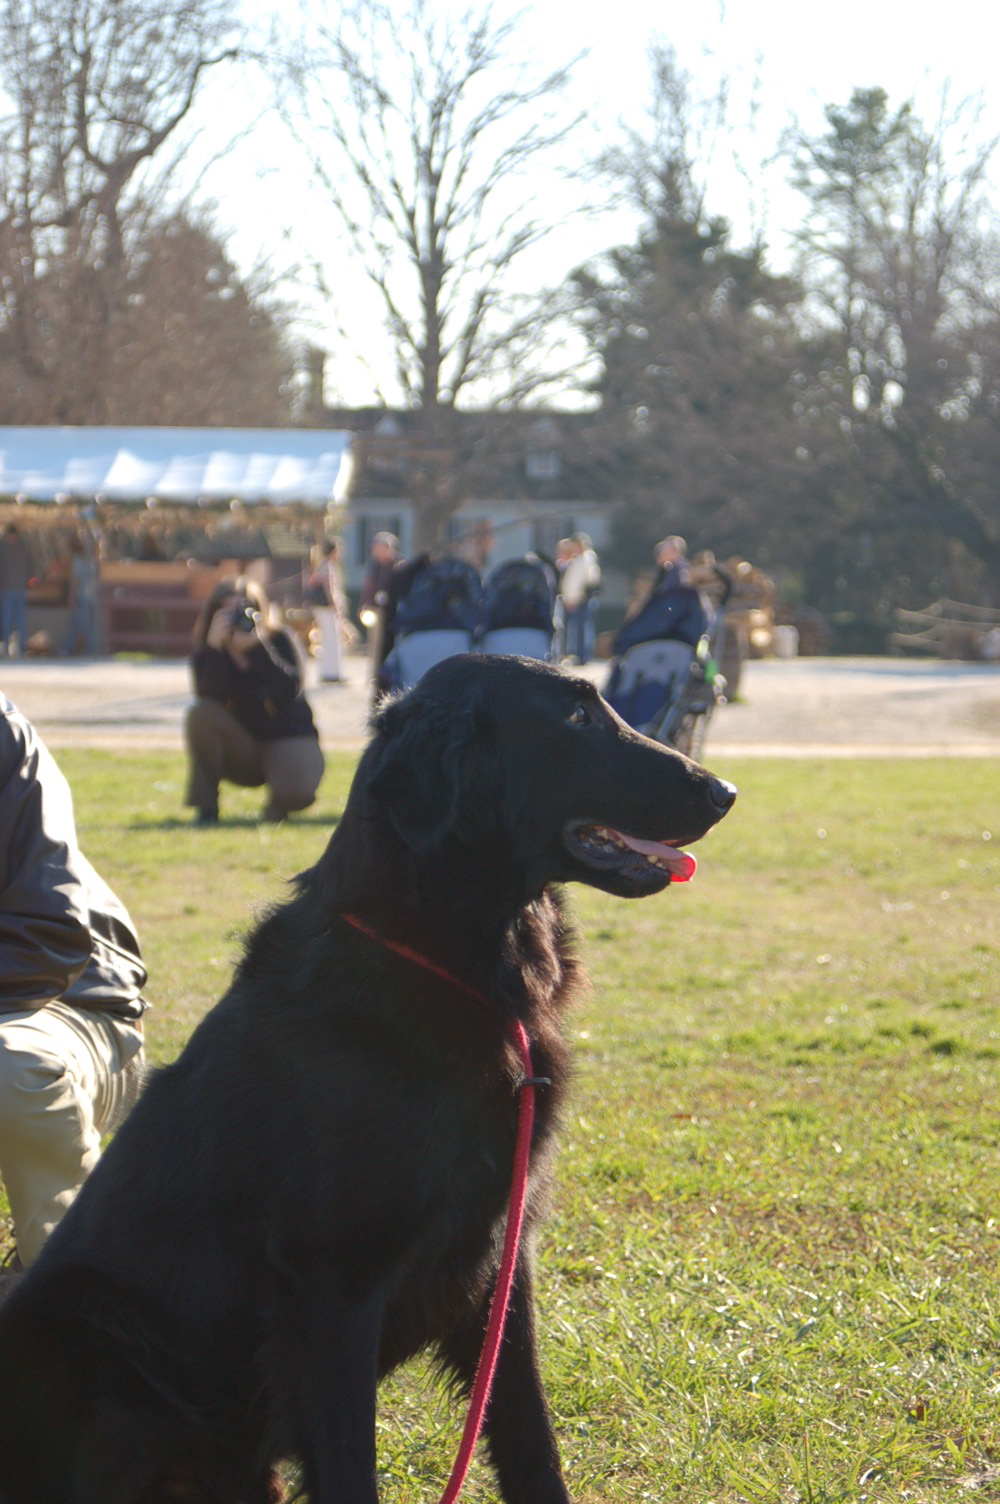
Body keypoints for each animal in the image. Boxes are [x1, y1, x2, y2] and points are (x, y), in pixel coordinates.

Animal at [0, 658, 733, 1504]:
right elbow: (354, 1467)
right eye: (578, 718)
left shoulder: (503, 1263)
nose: (725, 791)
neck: (460, 973)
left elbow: (532, 1444)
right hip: (86, 1339)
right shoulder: (332, 1288)